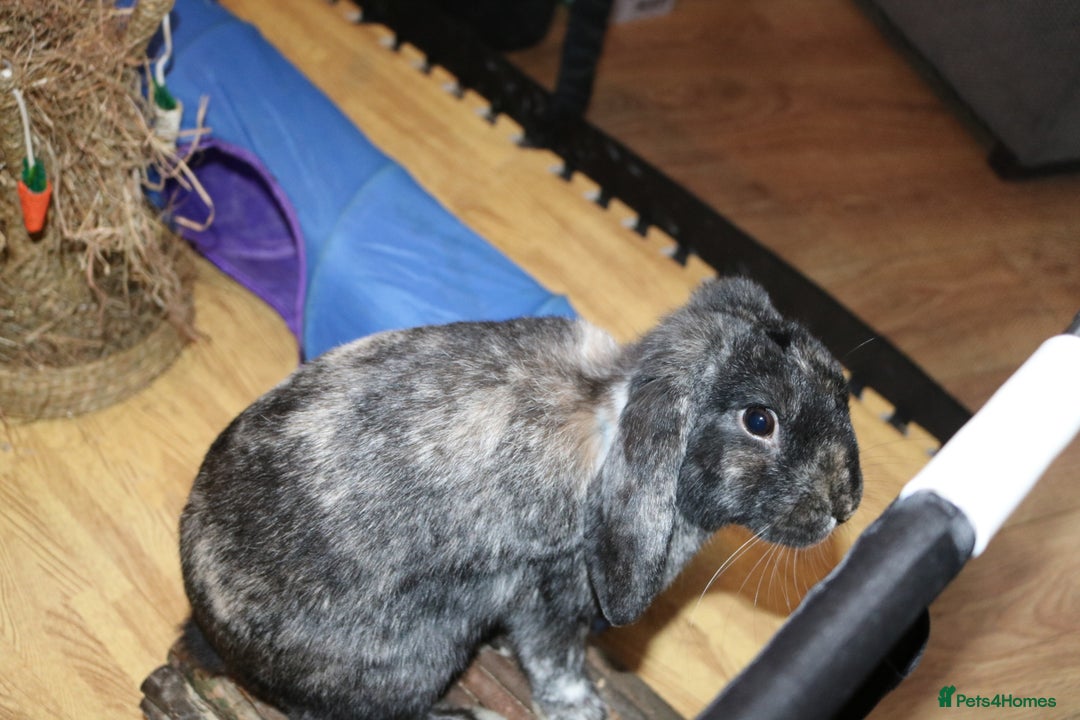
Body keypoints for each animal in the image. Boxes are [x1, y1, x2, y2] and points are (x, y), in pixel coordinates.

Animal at [179, 277, 862, 720]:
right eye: (759, 421)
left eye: (839, 383)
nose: (846, 504)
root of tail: (210, 637)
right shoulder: (548, 591)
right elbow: (555, 657)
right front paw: (581, 709)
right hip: (421, 655)